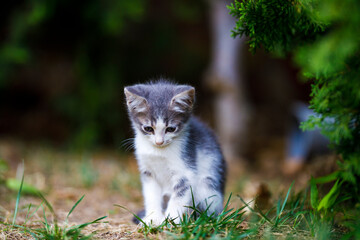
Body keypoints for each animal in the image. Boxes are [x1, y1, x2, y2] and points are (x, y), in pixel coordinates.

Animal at [124, 80, 225, 225]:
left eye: (170, 129)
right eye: (148, 128)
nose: (159, 142)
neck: (159, 152)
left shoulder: (186, 171)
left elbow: (179, 197)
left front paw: (170, 221)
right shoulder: (148, 172)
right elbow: (151, 195)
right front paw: (152, 218)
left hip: (207, 185)